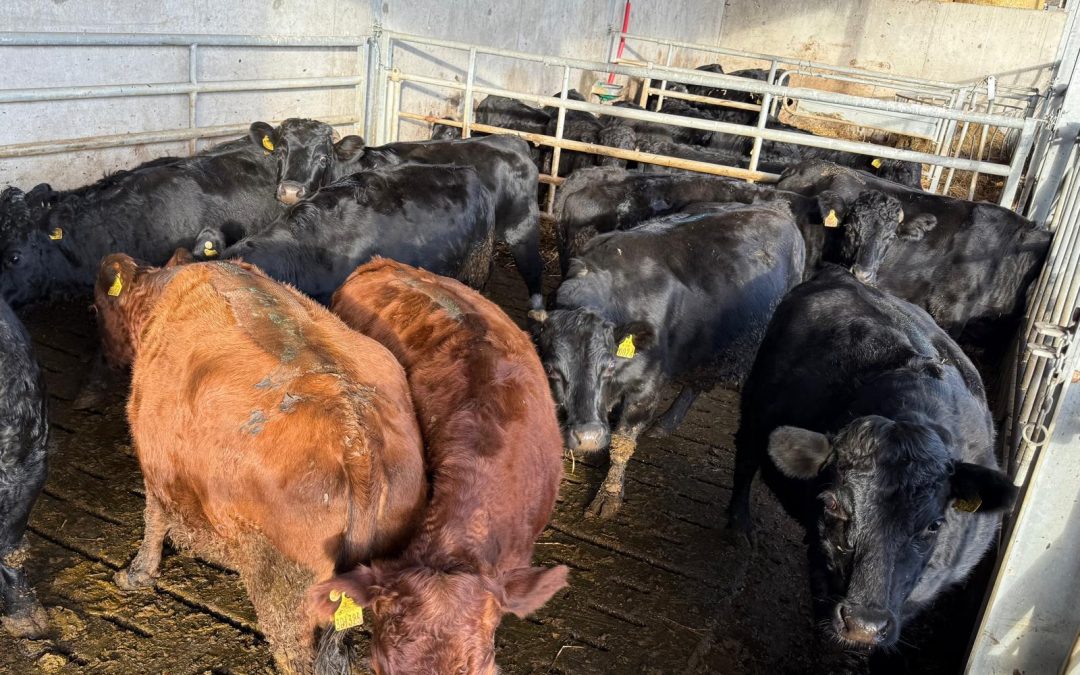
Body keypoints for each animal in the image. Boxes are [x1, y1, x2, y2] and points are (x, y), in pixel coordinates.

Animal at [96, 256, 427, 674]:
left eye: (97, 308)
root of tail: (354, 431)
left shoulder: (156, 464)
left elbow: (153, 520)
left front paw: (136, 574)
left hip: (285, 587)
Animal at [534, 202, 805, 518]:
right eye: (552, 370)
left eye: (609, 366)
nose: (588, 436)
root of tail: (776, 208)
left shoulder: (647, 388)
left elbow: (622, 442)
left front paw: (609, 495)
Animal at [726, 265, 1016, 650]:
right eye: (832, 505)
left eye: (935, 524)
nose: (864, 624)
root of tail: (844, 275)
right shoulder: (821, 564)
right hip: (756, 405)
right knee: (746, 457)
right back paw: (738, 526)